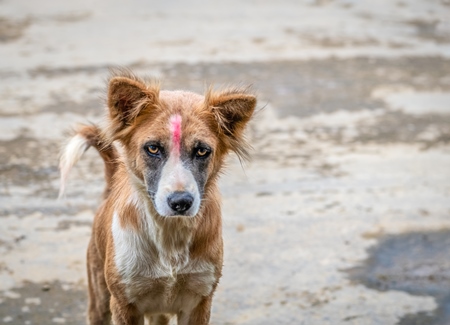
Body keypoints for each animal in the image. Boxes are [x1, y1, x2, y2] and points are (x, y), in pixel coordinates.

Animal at [59, 71, 256, 324]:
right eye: (153, 148)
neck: (170, 237)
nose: (181, 203)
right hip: (100, 298)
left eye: (202, 151)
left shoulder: (199, 302)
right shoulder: (123, 304)